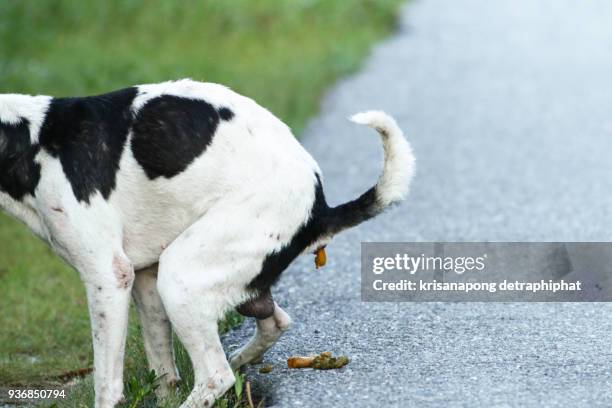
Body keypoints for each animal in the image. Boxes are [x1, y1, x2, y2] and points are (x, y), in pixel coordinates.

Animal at [0, 79, 416, 408]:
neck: (31, 139)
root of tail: (319, 206)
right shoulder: (138, 279)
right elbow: (163, 372)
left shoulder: (108, 277)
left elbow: (107, 383)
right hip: (194, 285)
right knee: (272, 325)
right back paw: (241, 358)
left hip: (180, 278)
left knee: (216, 376)